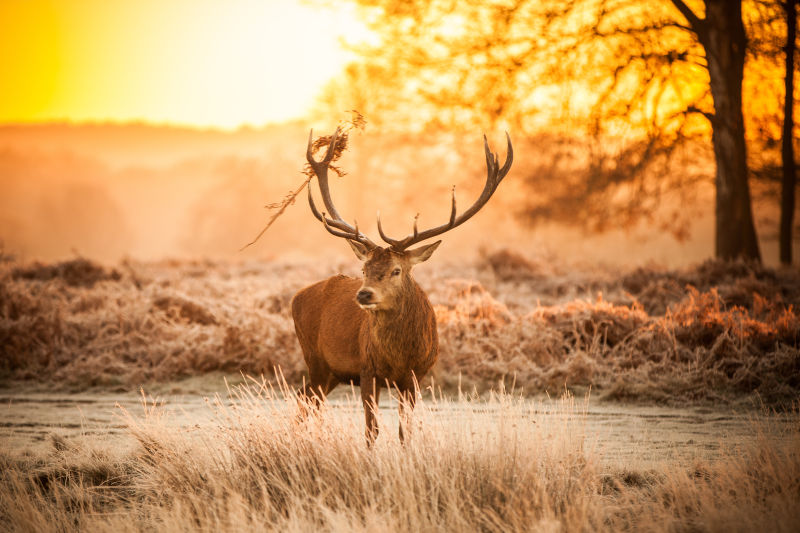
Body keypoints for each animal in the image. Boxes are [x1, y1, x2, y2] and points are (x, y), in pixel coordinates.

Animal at [292, 127, 512, 442]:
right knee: (306, 399)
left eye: (396, 270)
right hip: (316, 359)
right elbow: (372, 430)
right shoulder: (367, 370)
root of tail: (296, 296)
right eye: (364, 268)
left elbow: (404, 431)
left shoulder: (415, 376)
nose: (364, 294)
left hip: (331, 372)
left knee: (305, 398)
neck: (399, 357)